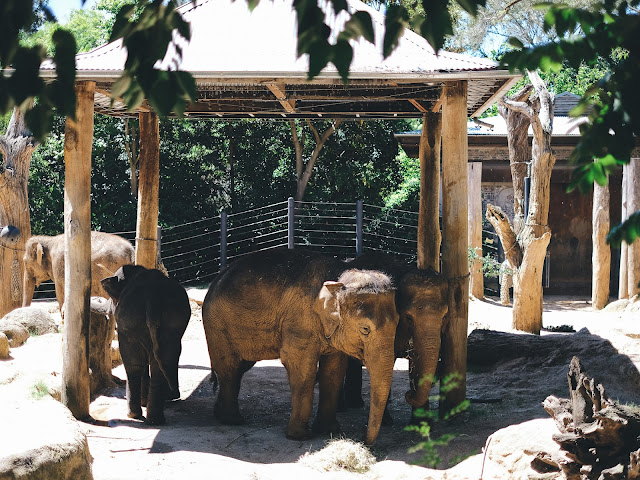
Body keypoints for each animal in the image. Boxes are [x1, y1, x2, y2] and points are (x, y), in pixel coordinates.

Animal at [94, 264, 191, 426]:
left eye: (112, 298)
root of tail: (153, 300)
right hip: (171, 325)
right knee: (163, 360)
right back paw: (155, 419)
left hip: (131, 325)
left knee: (132, 364)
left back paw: (134, 415)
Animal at [202, 248, 398, 446]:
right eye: (365, 329)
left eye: (397, 324)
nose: (363, 440)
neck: (338, 275)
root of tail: (217, 278)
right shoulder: (300, 319)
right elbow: (302, 366)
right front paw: (300, 436)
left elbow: (334, 369)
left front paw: (329, 431)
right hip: (217, 325)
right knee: (229, 367)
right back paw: (233, 420)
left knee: (240, 367)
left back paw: (220, 414)